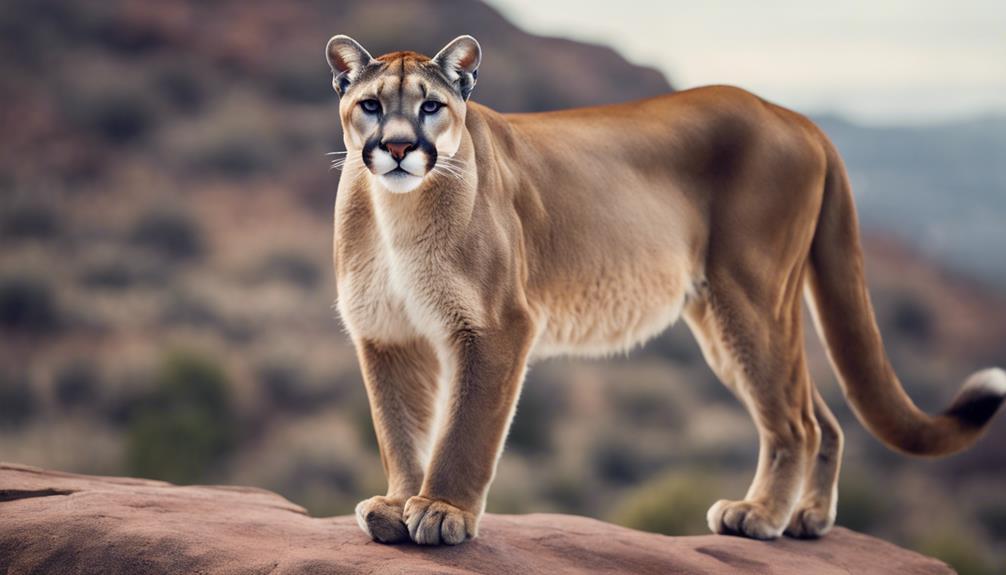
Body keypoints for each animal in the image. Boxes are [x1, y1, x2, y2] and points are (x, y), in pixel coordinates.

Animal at [325, 34, 1005, 545]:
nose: (398, 147)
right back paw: (807, 519)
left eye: (431, 106)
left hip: (749, 296)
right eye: (371, 105)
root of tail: (794, 115)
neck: (398, 212)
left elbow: (466, 426)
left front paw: (442, 511)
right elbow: (399, 428)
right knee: (818, 414)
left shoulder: (496, 325)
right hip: (726, 320)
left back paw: (759, 516)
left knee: (796, 422)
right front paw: (397, 504)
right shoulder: (387, 333)